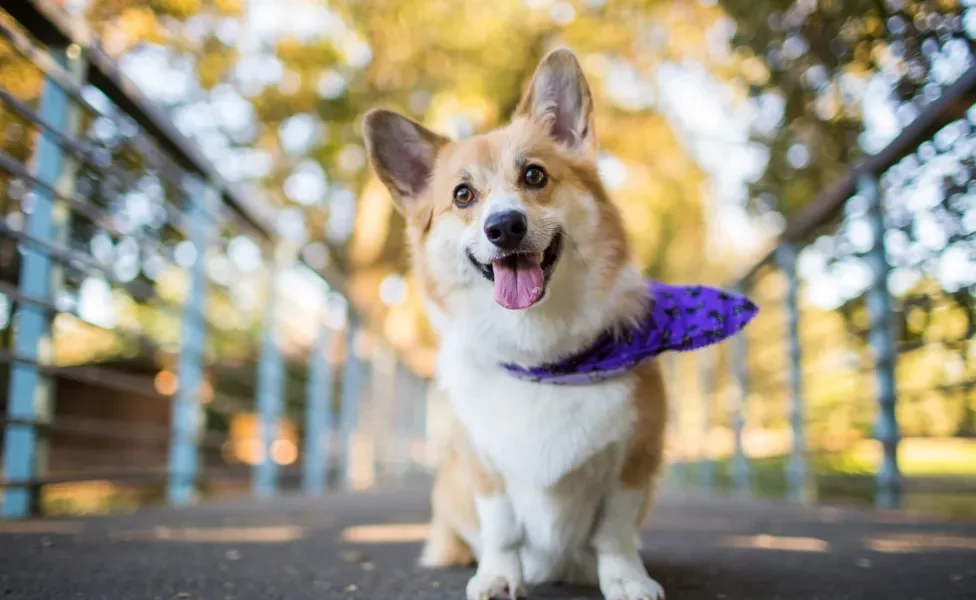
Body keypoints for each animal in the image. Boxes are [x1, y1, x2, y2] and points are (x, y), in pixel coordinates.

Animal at [362, 50, 668, 600]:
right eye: (463, 195)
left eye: (534, 176)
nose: (504, 226)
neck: (541, 355)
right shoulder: (484, 466)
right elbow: (502, 529)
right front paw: (498, 578)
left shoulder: (634, 458)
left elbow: (615, 533)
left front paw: (626, 580)